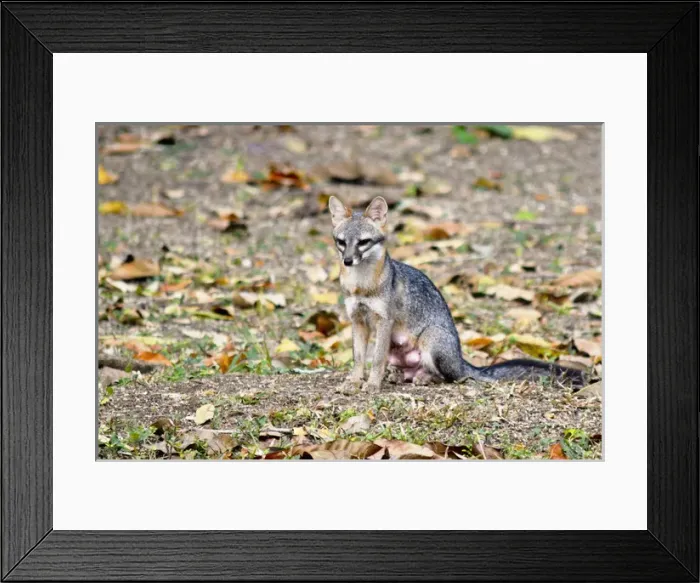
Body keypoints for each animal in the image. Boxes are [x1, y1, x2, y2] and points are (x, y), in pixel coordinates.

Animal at [328, 195, 586, 391]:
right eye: (342, 242)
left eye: (363, 242)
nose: (348, 260)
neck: (362, 286)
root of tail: (461, 360)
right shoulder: (357, 320)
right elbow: (359, 358)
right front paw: (354, 381)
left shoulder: (384, 321)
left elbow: (376, 359)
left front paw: (372, 384)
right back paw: (399, 376)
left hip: (432, 340)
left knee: (453, 377)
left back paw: (425, 378)